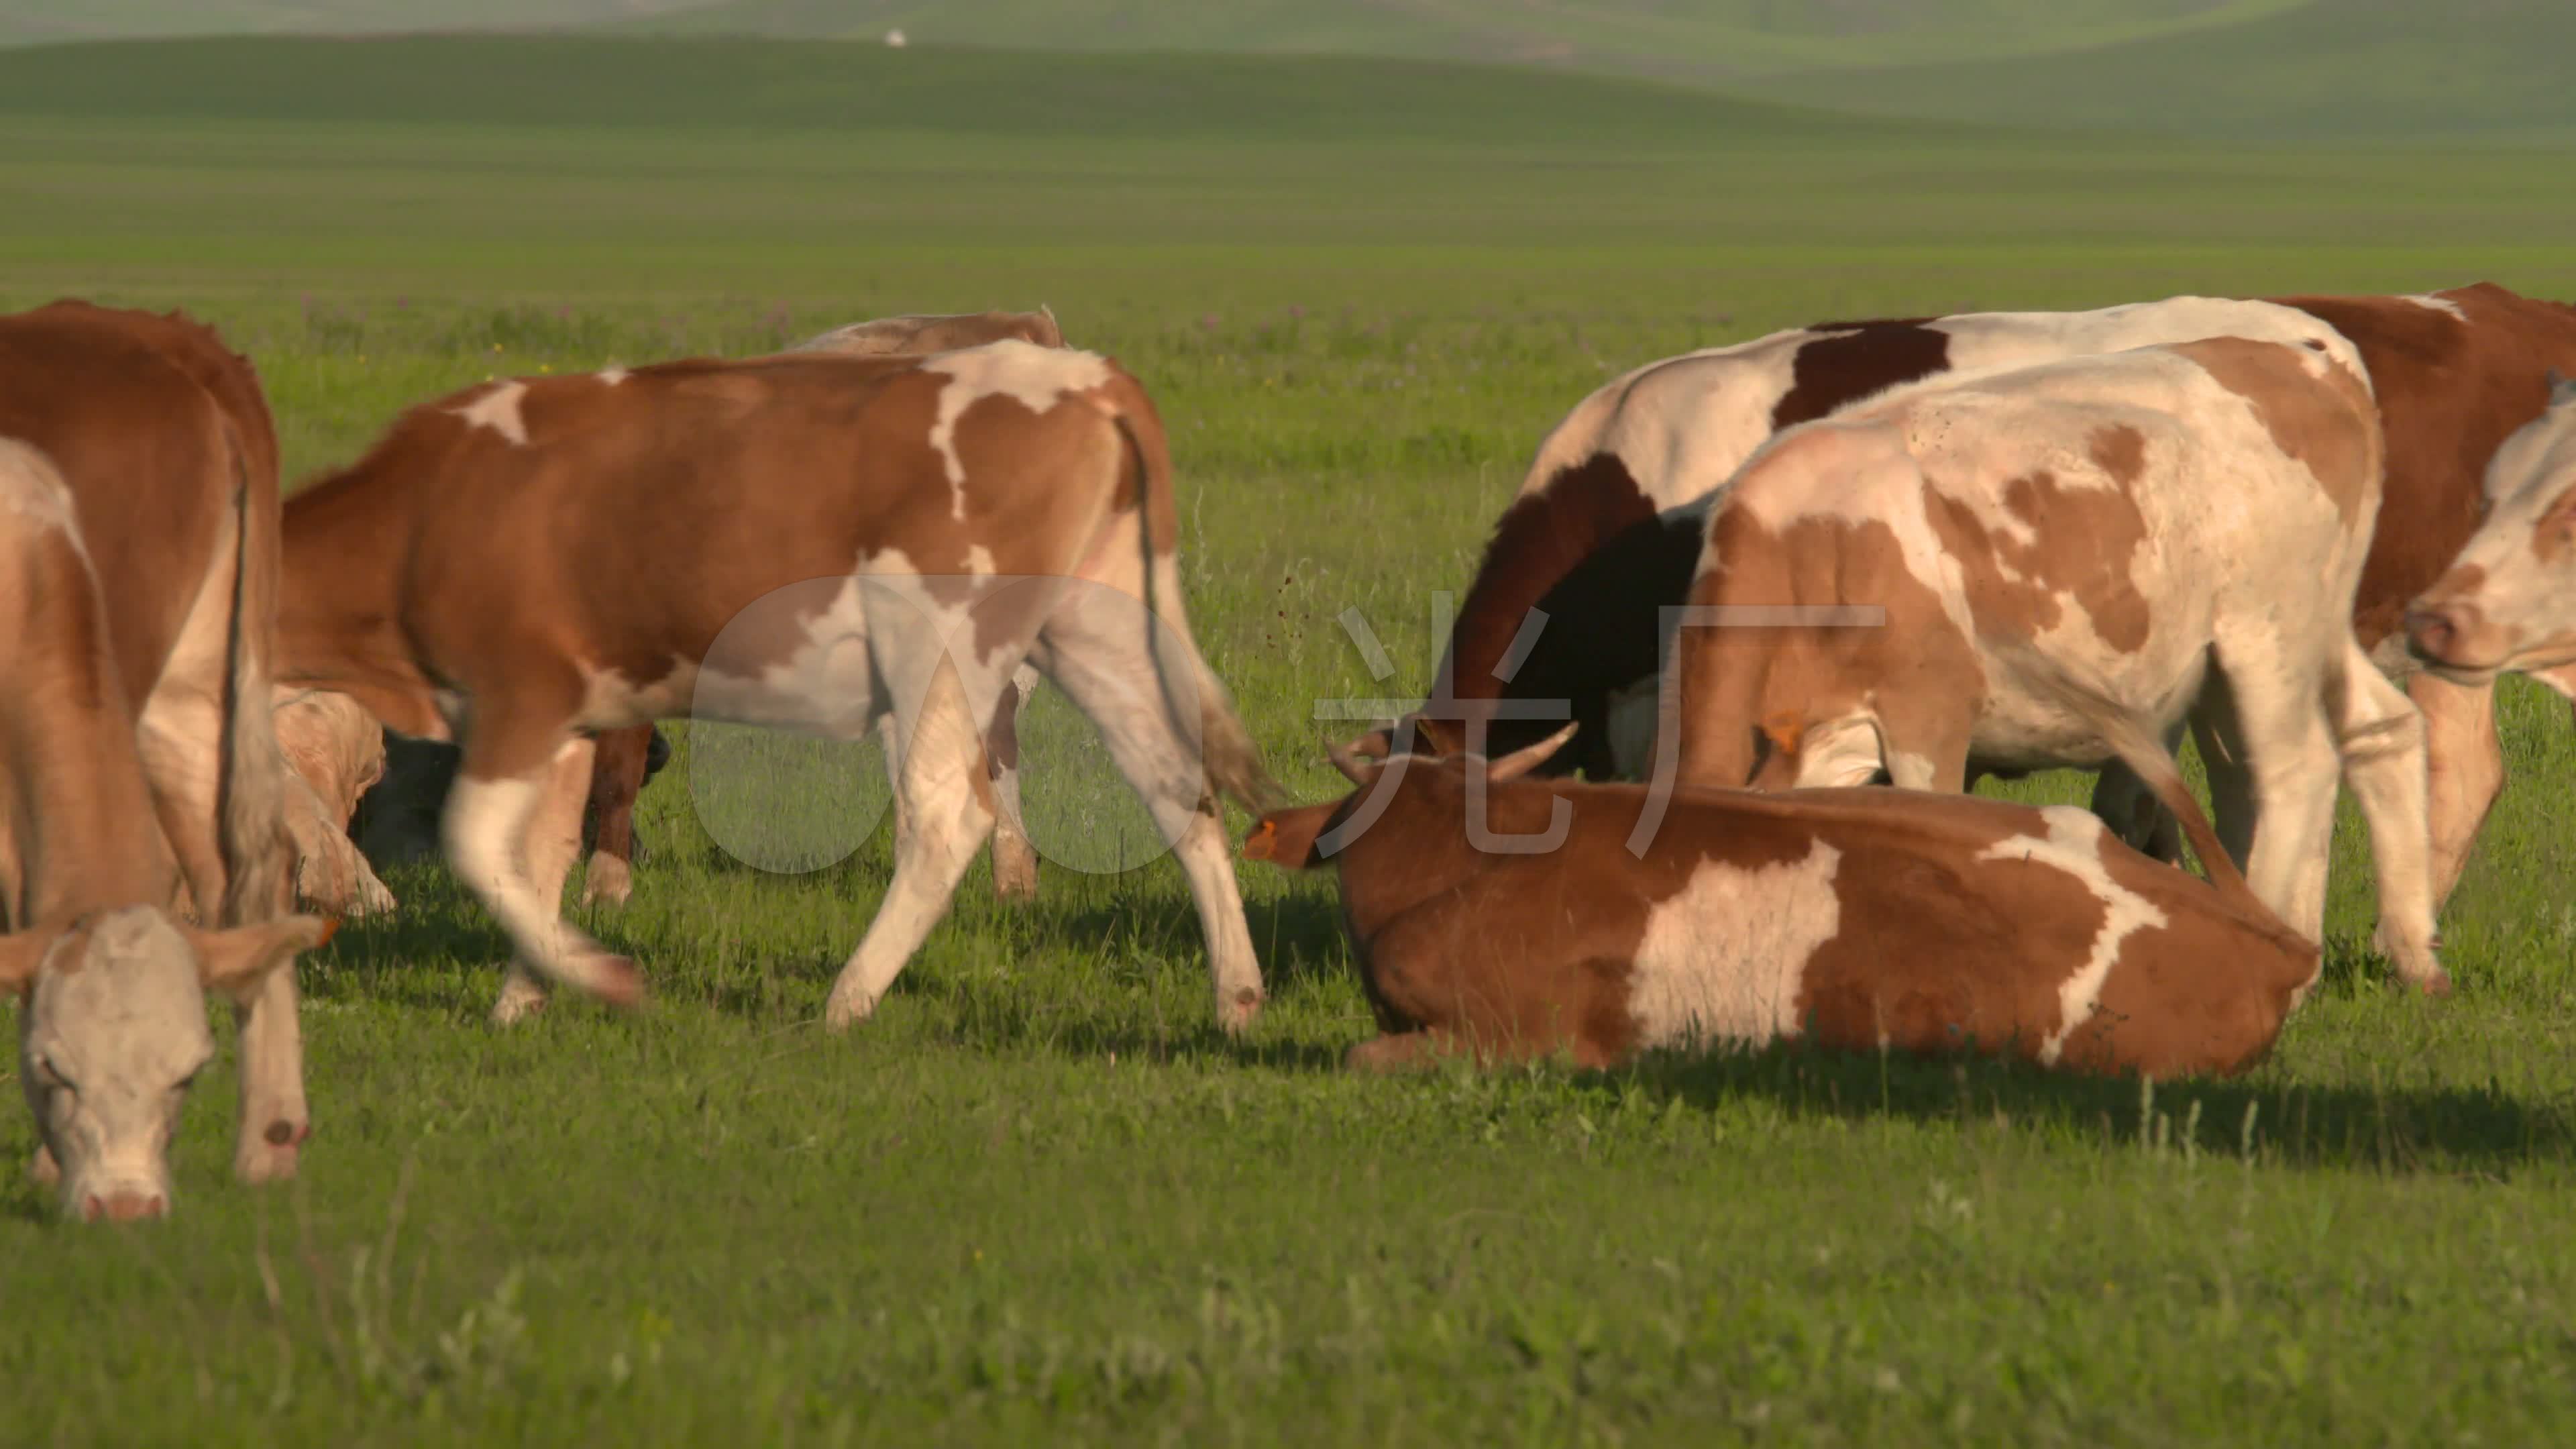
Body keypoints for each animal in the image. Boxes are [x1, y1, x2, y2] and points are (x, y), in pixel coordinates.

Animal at [274, 335, 1277, 1026]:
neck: (422, 512)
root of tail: (1082, 373)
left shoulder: (522, 694)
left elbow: (478, 846)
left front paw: (597, 976)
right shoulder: (568, 717)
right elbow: (541, 854)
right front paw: (530, 994)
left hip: (936, 647)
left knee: (945, 818)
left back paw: (846, 1001)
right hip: (1100, 629)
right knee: (1180, 790)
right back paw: (1236, 999)